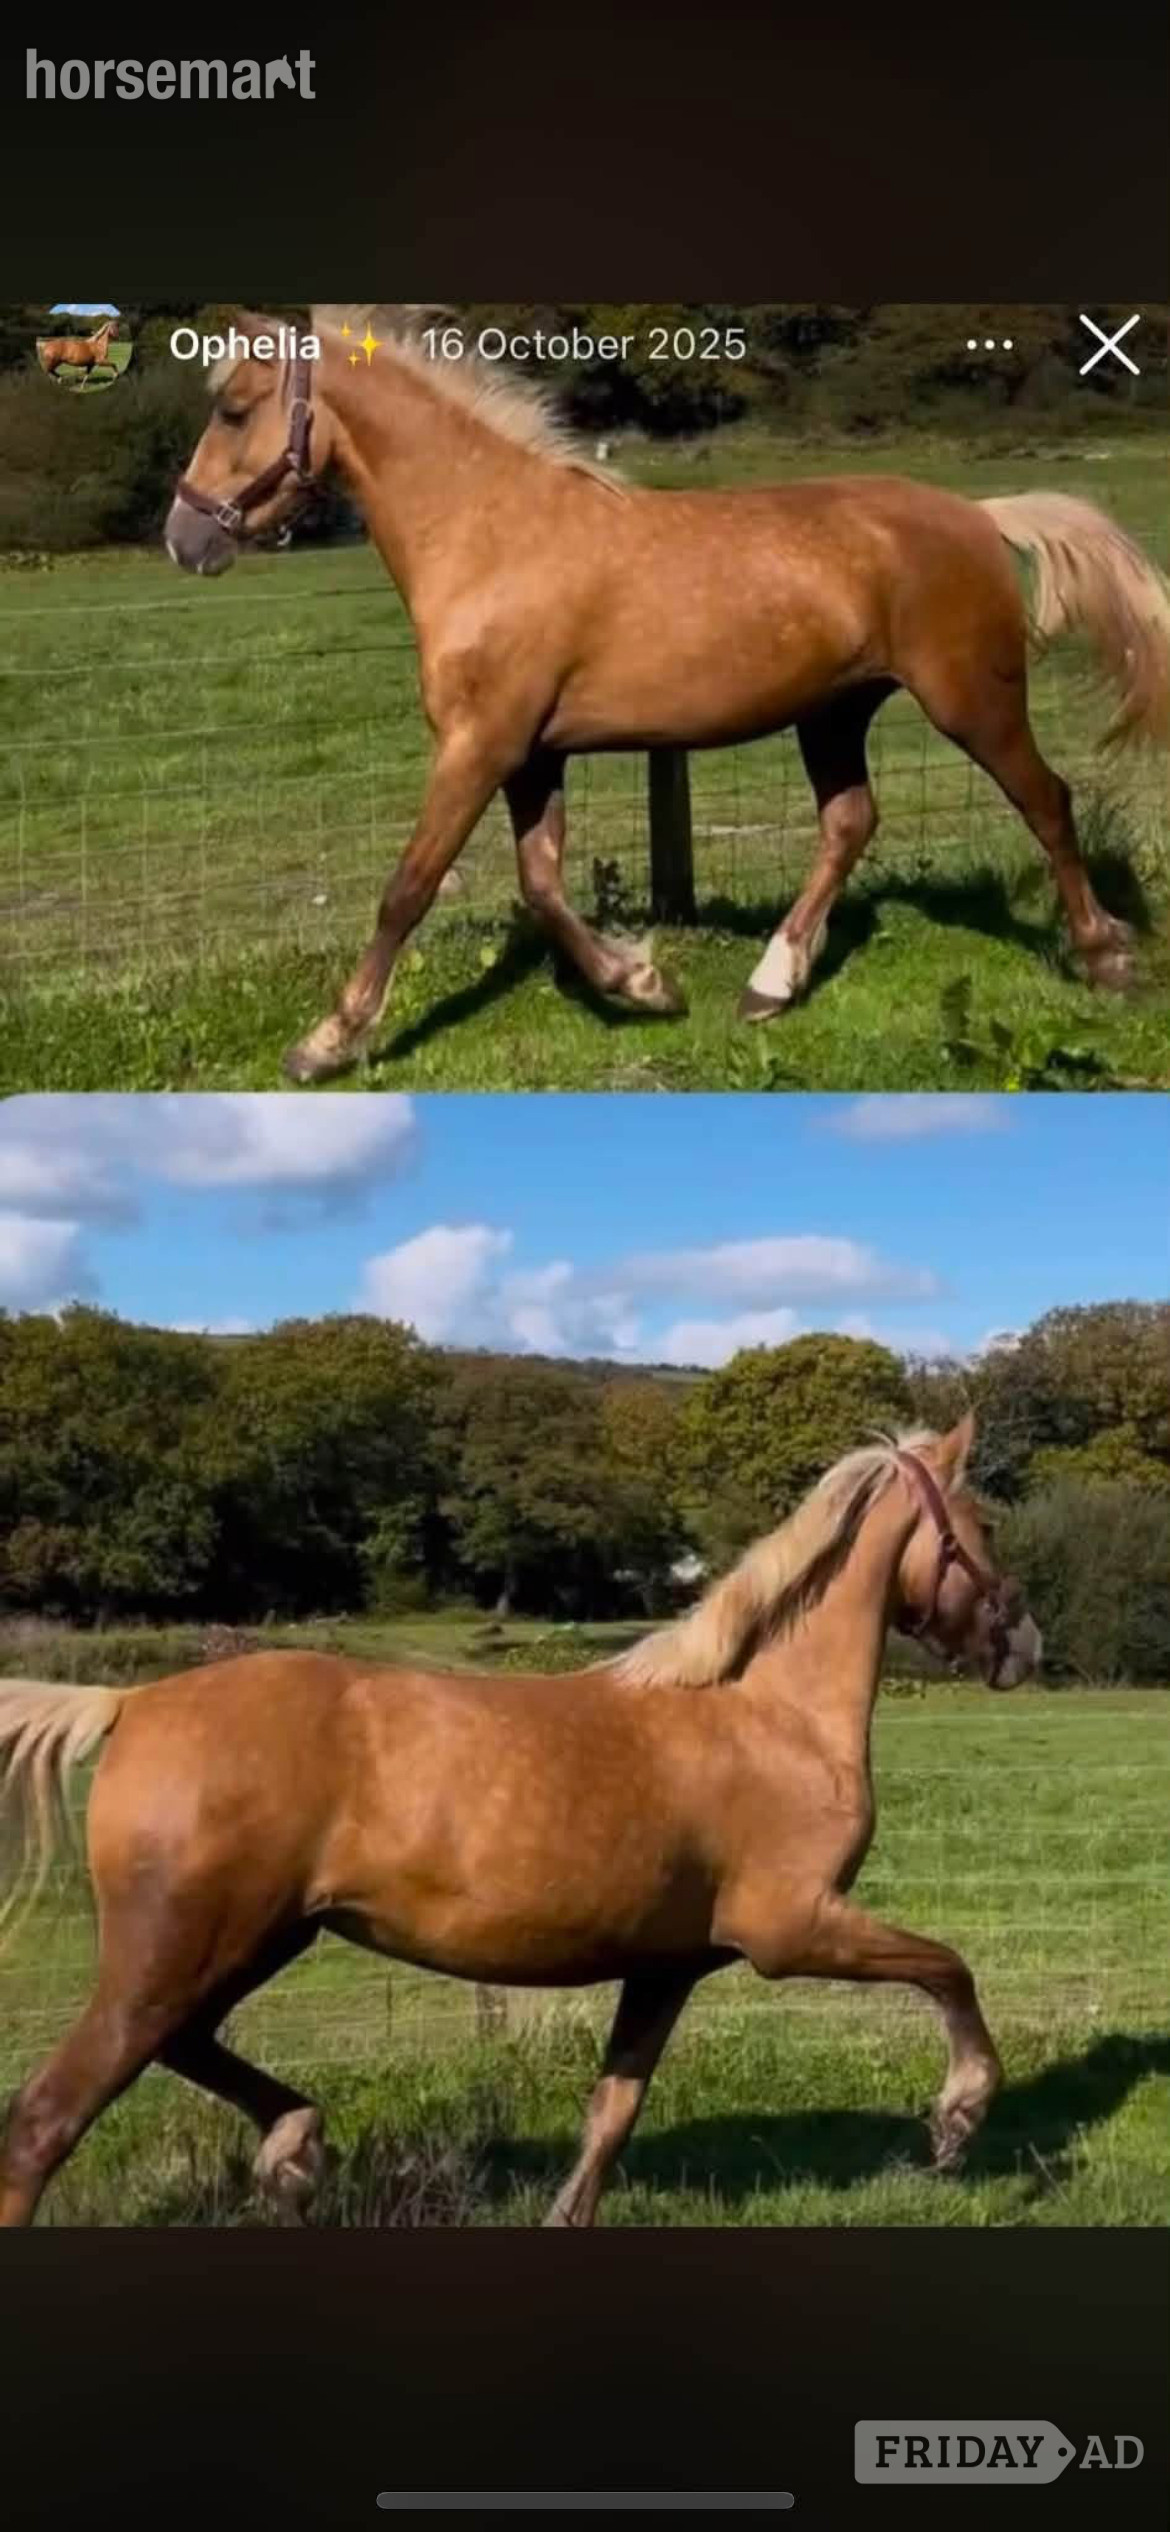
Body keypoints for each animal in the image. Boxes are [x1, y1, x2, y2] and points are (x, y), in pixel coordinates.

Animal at [0, 1414, 1042, 2228]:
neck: (767, 1714)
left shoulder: (667, 1965)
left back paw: (295, 2150)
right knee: (45, 2121)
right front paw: (957, 2119)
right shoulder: (792, 1929)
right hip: (178, 1951)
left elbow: (611, 2115)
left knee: (183, 2048)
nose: (1025, 1645)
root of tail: (131, 1702)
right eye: (984, 1524)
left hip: (251, 1943)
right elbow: (950, 1967)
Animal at [164, 306, 1170, 1086]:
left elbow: (407, 889)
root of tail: (980, 516)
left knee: (1047, 802)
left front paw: (326, 1042)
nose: (183, 538)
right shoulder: (532, 754)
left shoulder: (479, 746)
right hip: (833, 713)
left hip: (972, 701)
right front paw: (645, 984)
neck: (491, 538)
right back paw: (769, 985)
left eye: (234, 408)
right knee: (850, 822)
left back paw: (1107, 957)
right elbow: (541, 884)